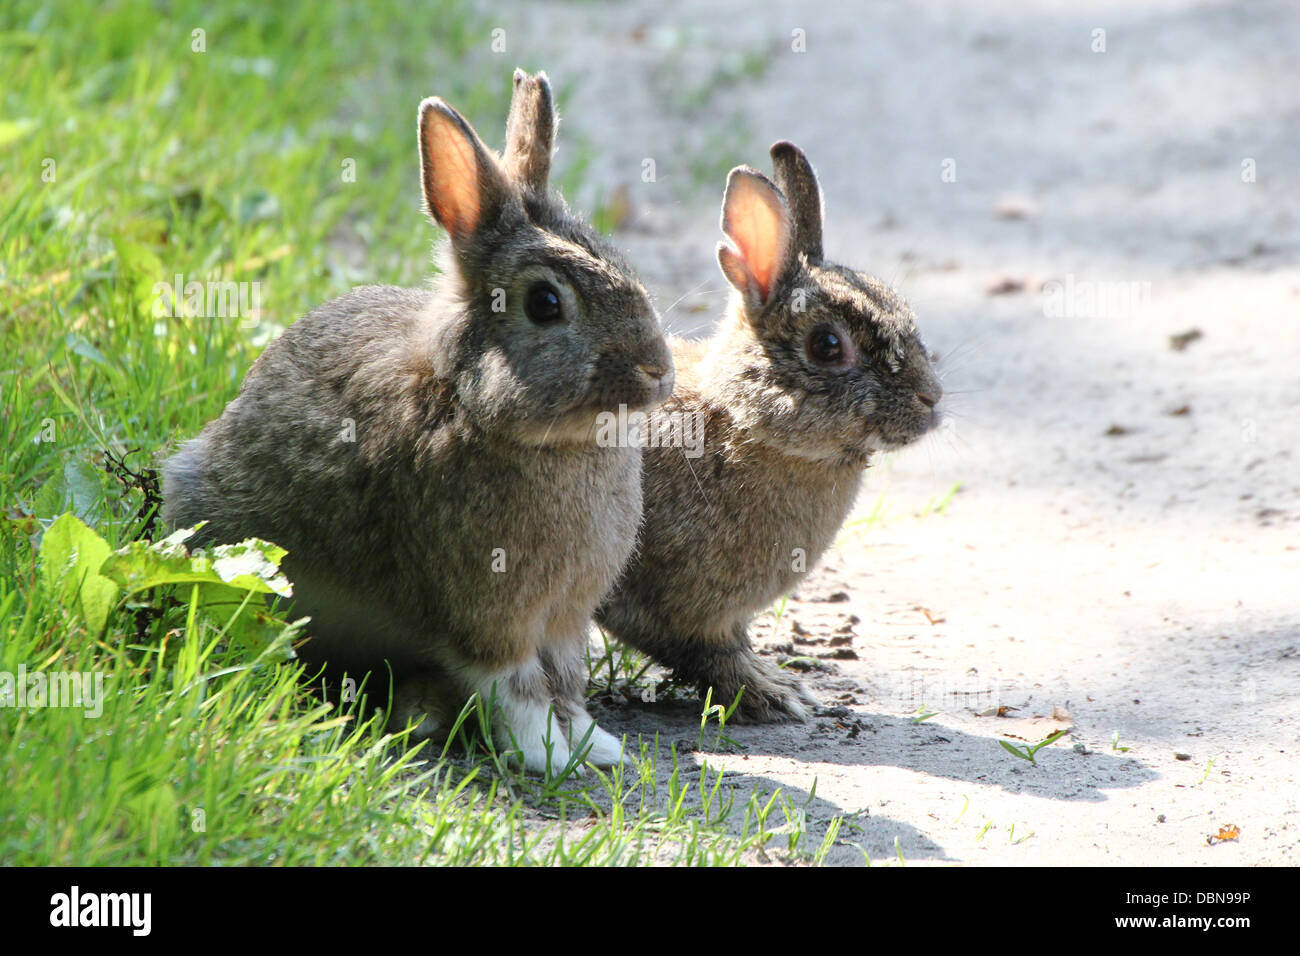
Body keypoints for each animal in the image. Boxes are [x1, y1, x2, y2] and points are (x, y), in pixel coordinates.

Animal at [158, 72, 676, 780]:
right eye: (546, 303)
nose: (659, 370)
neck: (477, 407)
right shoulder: (487, 614)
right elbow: (515, 686)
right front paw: (545, 754)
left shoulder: (565, 621)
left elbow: (567, 685)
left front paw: (597, 747)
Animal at [595, 141, 941, 723]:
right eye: (828, 345)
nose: (931, 400)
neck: (738, 422)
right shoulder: (677, 608)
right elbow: (708, 652)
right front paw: (773, 693)